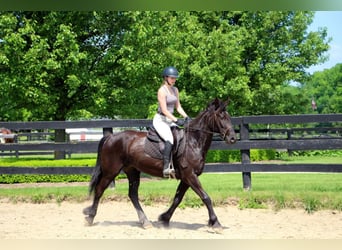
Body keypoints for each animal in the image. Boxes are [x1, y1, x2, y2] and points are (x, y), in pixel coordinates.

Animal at [84, 97, 236, 230]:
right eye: (221, 116)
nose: (233, 138)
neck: (193, 142)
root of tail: (110, 137)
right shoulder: (190, 175)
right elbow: (205, 197)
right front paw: (215, 223)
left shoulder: (187, 178)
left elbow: (177, 199)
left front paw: (164, 219)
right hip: (111, 171)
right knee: (99, 190)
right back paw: (90, 217)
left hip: (132, 171)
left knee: (133, 195)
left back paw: (145, 222)